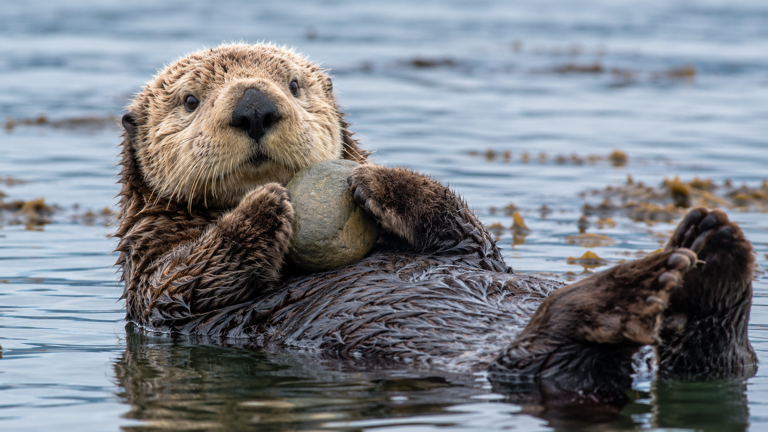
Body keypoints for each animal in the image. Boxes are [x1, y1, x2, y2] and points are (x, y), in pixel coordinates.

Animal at [116, 43, 757, 407]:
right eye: (191, 101)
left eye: (293, 85)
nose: (254, 104)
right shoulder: (153, 284)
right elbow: (183, 282)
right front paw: (265, 206)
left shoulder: (470, 247)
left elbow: (471, 237)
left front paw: (379, 180)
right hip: (528, 360)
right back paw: (639, 287)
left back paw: (709, 252)